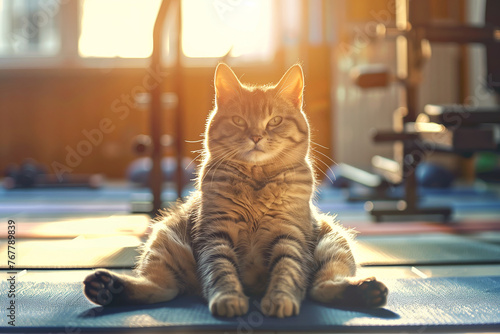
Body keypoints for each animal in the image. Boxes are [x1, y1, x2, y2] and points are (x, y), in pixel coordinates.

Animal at [83, 63, 386, 318]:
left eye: (275, 121)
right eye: (239, 121)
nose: (256, 136)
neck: (257, 181)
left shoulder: (289, 235)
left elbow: (287, 271)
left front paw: (280, 299)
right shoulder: (216, 234)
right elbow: (221, 272)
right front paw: (228, 299)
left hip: (332, 242)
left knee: (319, 287)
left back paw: (368, 291)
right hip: (165, 241)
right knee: (161, 288)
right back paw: (106, 288)